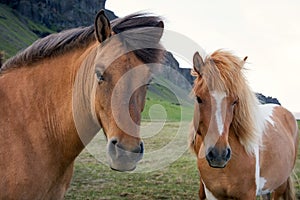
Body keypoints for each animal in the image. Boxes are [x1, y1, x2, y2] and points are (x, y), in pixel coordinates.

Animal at [190, 49, 298, 198]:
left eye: (235, 101)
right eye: (198, 98)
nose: (219, 155)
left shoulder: (247, 194)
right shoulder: (213, 194)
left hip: (279, 186)